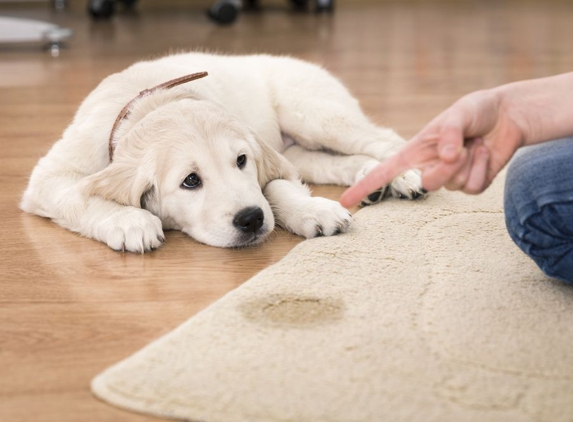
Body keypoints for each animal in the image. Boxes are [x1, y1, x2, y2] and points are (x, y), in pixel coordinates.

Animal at [21, 52, 424, 251]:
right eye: (190, 181)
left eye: (241, 161)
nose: (251, 220)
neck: (152, 102)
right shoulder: (49, 177)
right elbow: (80, 195)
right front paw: (129, 221)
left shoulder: (266, 158)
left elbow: (276, 188)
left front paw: (312, 210)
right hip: (299, 146)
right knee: (330, 161)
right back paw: (370, 179)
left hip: (313, 113)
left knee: (383, 138)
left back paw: (405, 176)